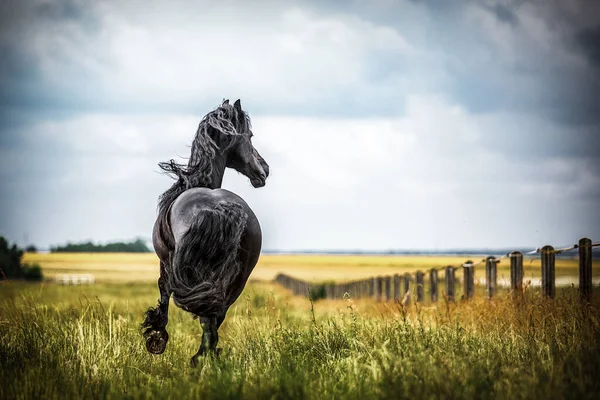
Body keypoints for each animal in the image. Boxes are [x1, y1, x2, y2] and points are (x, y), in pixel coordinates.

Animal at [142, 100, 268, 366]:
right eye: (251, 136)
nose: (265, 170)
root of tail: (219, 206)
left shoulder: (165, 261)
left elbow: (163, 293)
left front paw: (156, 337)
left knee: (207, 317)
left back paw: (199, 360)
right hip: (237, 278)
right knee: (215, 315)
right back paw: (207, 357)